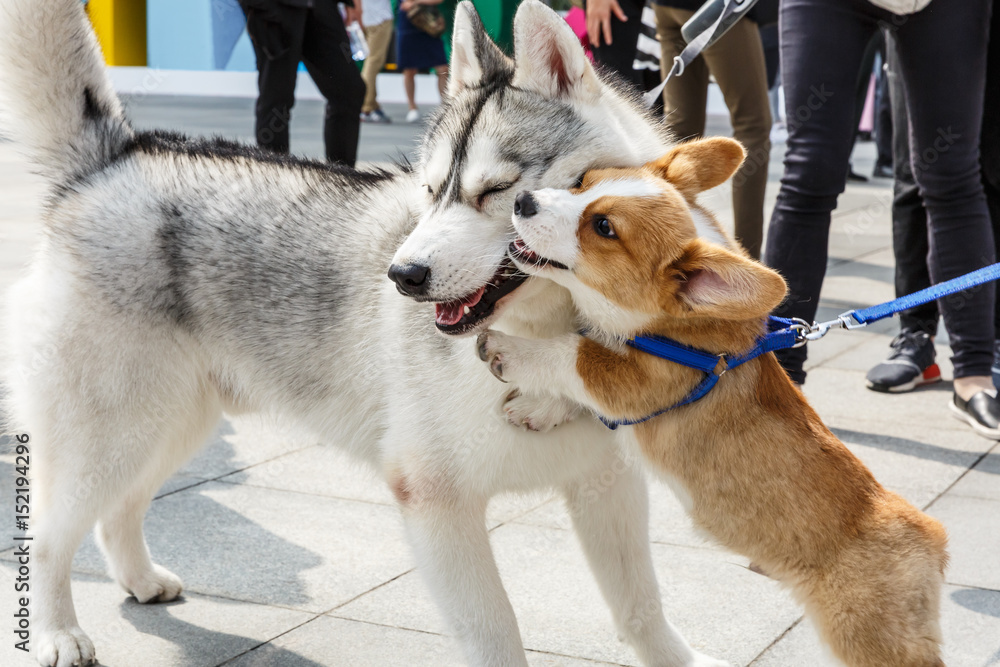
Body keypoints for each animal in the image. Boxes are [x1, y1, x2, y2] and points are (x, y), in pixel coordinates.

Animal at [0, 1, 728, 667]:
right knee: (49, 535)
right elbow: (496, 634)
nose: (402, 275)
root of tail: (116, 158)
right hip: (115, 431)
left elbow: (642, 608)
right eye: (431, 191)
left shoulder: (608, 485)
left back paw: (140, 579)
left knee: (117, 510)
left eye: (498, 191)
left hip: (170, 424)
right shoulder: (434, 502)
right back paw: (59, 633)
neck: (543, 339)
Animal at [476, 137, 944, 667]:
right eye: (582, 183)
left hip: (869, 639)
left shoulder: (635, 380)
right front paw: (537, 409)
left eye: (603, 228)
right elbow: (578, 389)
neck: (671, 328)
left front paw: (507, 350)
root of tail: (932, 538)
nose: (523, 201)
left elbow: (572, 354)